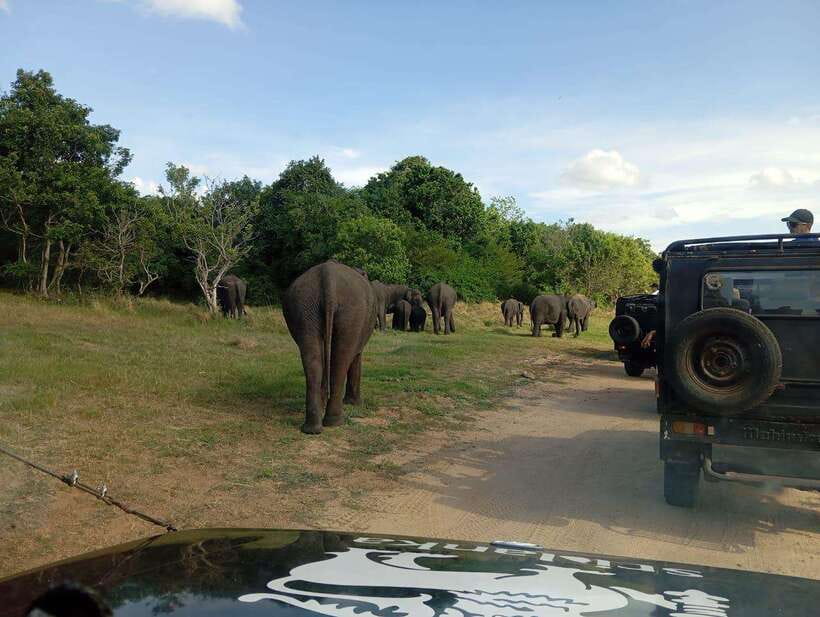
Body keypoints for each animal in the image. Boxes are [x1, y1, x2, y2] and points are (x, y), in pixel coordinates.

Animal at [282, 260, 375, 434]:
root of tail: (327, 277)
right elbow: (357, 356)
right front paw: (354, 403)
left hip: (305, 306)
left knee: (314, 359)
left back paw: (312, 428)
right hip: (352, 311)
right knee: (341, 359)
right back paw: (335, 422)